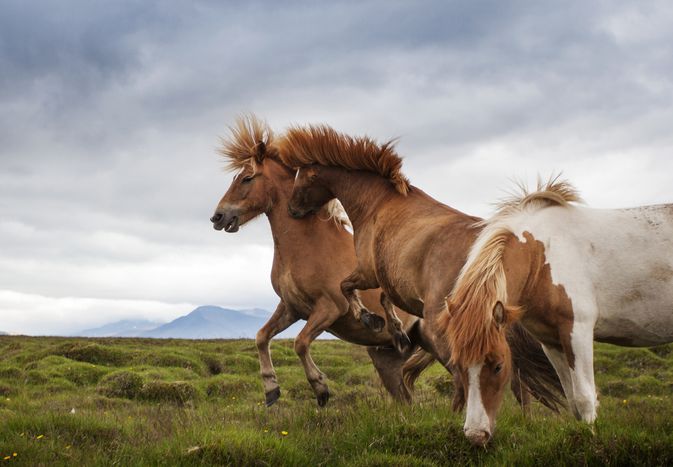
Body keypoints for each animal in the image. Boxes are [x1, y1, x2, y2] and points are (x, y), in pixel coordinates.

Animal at [209, 116, 433, 406]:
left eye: (247, 178)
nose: (218, 217)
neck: (308, 246)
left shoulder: (330, 308)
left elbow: (300, 343)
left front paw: (320, 388)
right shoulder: (291, 307)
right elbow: (261, 337)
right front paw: (271, 389)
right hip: (387, 355)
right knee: (405, 397)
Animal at [277, 124, 565, 414]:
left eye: (301, 179)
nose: (292, 210)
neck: (378, 203)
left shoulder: (368, 272)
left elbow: (346, 286)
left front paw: (370, 318)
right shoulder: (391, 279)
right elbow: (384, 298)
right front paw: (397, 332)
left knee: (464, 374)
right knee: (512, 377)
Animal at [445, 176, 673, 446]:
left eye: (498, 366)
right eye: (457, 365)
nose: (476, 435)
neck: (543, 256)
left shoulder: (578, 332)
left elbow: (584, 397)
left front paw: (591, 442)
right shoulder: (551, 342)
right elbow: (573, 399)